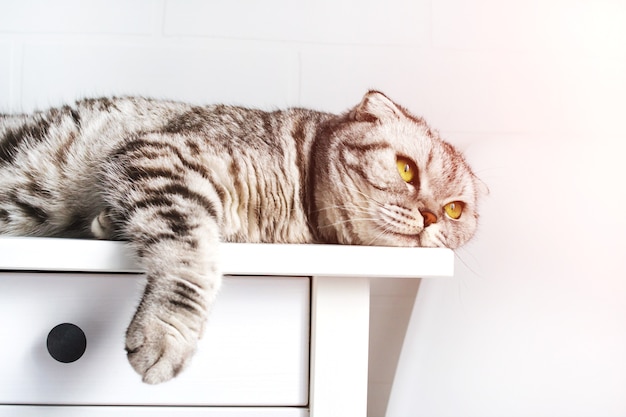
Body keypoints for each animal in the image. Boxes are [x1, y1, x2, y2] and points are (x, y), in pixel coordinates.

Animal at [0, 91, 482, 384]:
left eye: (455, 210)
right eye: (405, 169)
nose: (430, 216)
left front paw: (105, 221)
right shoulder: (166, 155)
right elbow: (191, 254)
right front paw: (167, 330)